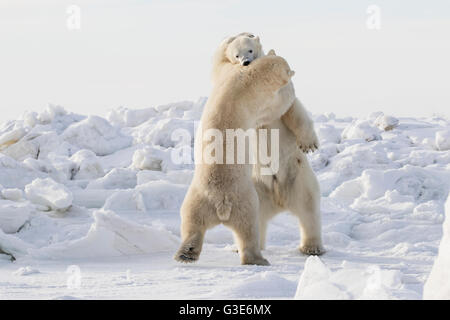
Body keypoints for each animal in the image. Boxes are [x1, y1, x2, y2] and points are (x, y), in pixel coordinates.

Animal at [174, 53, 298, 266]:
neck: (249, 78)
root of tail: (221, 204)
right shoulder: (260, 101)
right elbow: (276, 107)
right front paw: (291, 89)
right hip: (245, 202)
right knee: (249, 227)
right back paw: (258, 259)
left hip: (196, 201)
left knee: (192, 225)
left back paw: (185, 254)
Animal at [213, 32, 326, 255]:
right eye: (237, 55)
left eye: (250, 50)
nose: (246, 62)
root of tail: (279, 199)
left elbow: (293, 112)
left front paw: (309, 144)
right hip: (255, 187)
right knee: (253, 217)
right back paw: (243, 247)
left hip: (299, 178)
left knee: (309, 208)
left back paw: (312, 247)